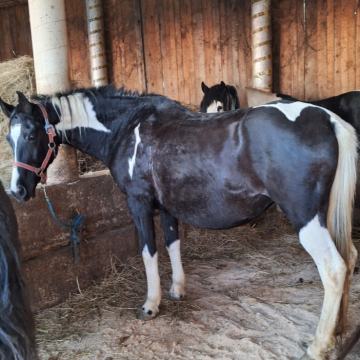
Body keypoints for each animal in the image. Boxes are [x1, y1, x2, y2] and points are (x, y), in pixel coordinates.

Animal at [1, 86, 358, 358]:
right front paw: (177, 290)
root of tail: (328, 119)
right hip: (325, 216)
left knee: (334, 269)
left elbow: (149, 251)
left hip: (306, 219)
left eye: (31, 134)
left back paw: (319, 344)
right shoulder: (167, 206)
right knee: (350, 258)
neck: (128, 129)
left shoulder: (140, 204)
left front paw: (151, 304)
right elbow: (173, 243)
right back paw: (339, 329)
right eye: (9, 138)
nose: (17, 190)